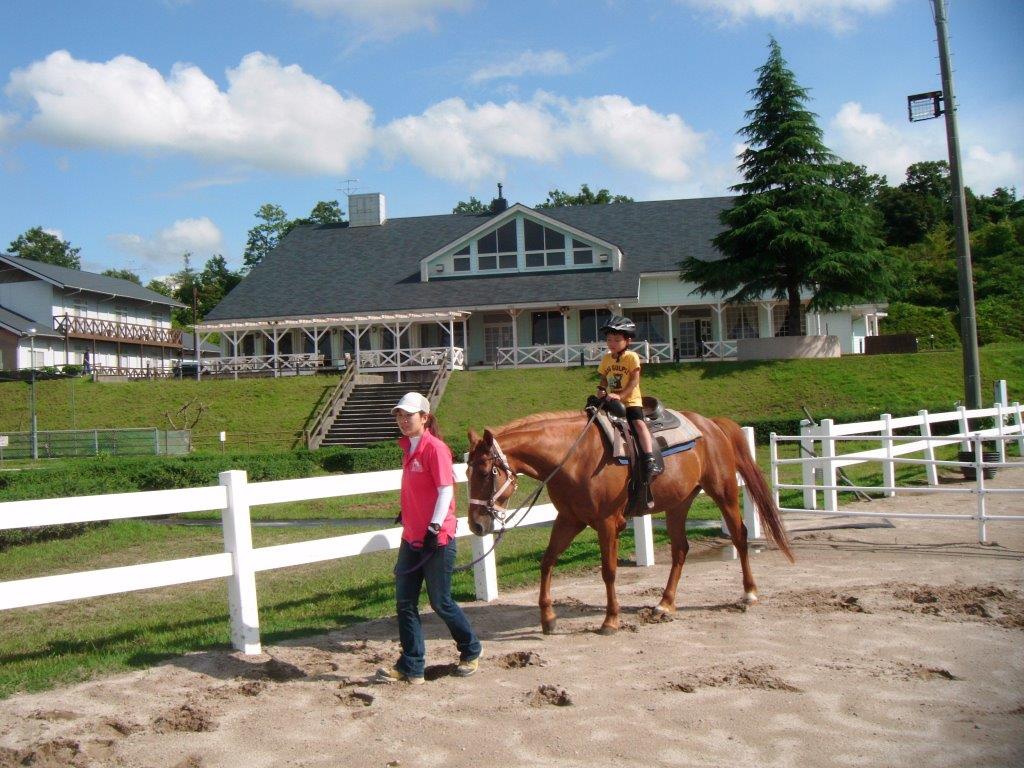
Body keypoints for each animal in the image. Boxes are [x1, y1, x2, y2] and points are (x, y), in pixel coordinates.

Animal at [468, 411, 794, 634]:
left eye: (486, 472)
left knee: (739, 534)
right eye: (467, 471)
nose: (476, 526)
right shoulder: (570, 519)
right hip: (679, 503)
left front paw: (611, 620)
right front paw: (548, 618)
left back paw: (749, 593)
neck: (574, 458)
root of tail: (710, 424)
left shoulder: (607, 523)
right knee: (680, 549)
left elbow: (609, 571)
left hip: (723, 491)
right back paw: (665, 604)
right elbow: (547, 561)